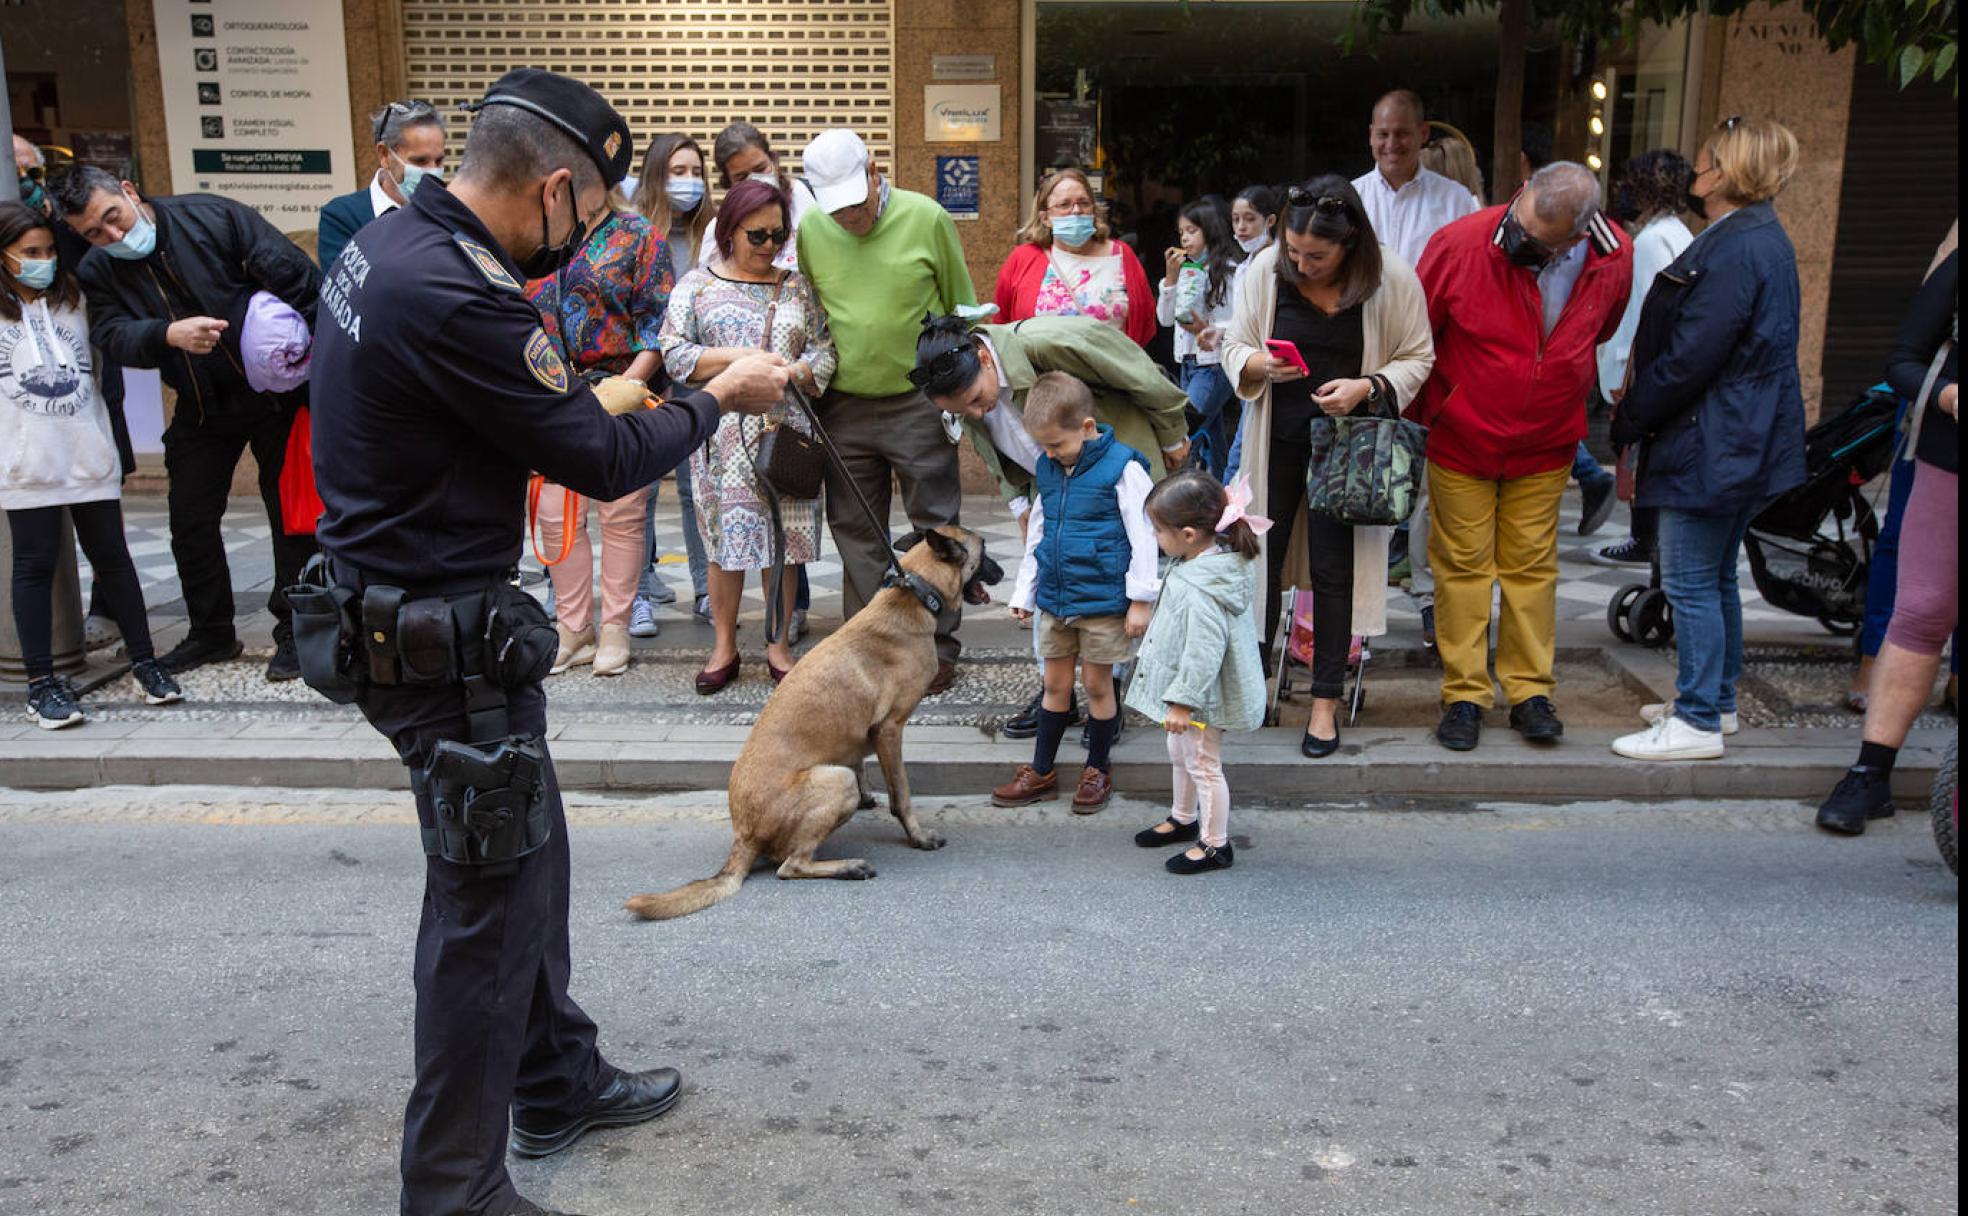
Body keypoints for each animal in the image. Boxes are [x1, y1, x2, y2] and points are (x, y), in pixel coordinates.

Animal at [625, 527, 999, 912]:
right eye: (984, 549)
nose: (1002, 572)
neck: (914, 593)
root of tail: (743, 838)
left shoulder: (864, 737)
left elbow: (860, 762)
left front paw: (870, 796)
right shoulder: (891, 730)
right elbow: (902, 795)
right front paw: (918, 836)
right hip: (836, 782)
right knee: (790, 866)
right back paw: (848, 867)